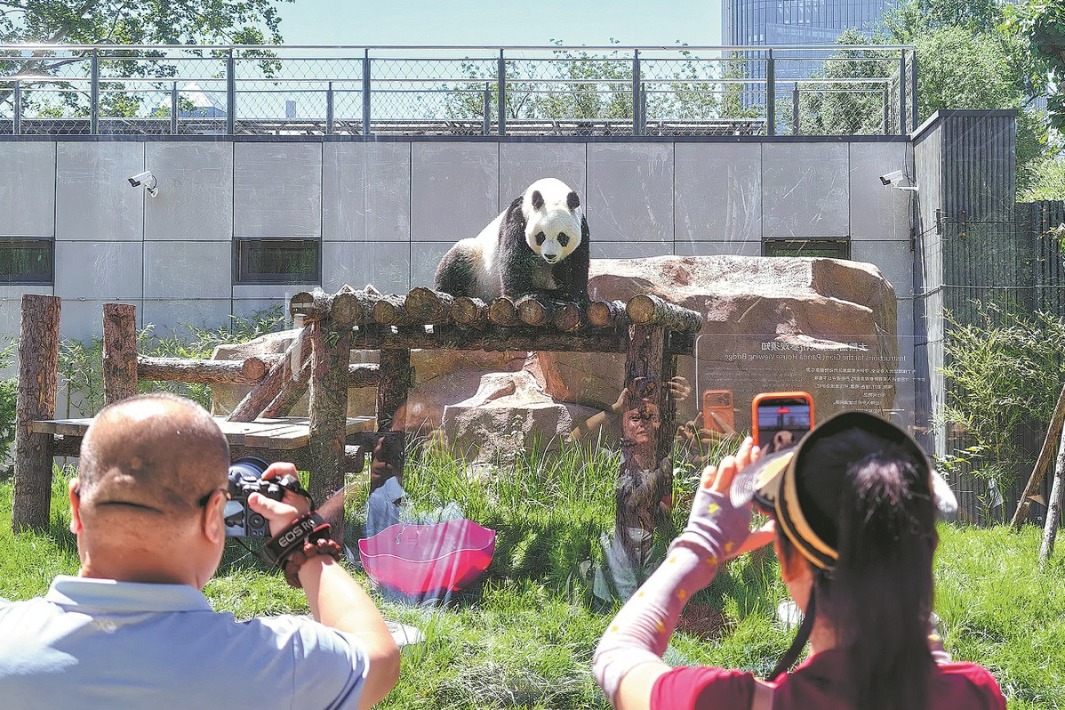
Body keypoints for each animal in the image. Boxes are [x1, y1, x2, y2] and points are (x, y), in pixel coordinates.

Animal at [433, 177, 590, 304]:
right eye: (541, 236)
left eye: (562, 237)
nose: (550, 256)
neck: (551, 191)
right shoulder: (518, 217)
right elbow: (514, 257)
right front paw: (525, 294)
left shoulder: (582, 227)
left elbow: (577, 262)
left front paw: (574, 295)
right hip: (477, 264)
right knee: (456, 260)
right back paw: (445, 292)